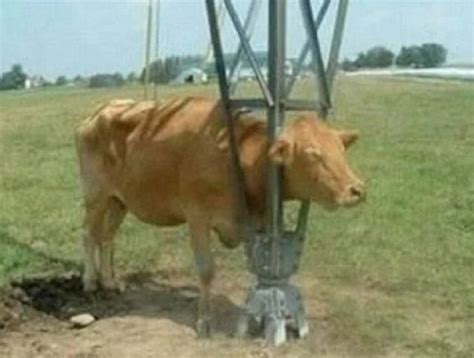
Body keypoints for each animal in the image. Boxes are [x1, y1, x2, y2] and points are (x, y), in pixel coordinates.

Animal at [74, 96, 364, 338]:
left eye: (341, 149)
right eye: (312, 154)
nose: (356, 190)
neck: (238, 160)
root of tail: (101, 110)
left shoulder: (259, 222)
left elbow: (265, 271)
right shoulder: (197, 217)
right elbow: (207, 271)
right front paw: (204, 322)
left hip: (118, 200)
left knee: (107, 238)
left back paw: (110, 282)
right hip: (95, 195)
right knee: (89, 234)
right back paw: (89, 282)